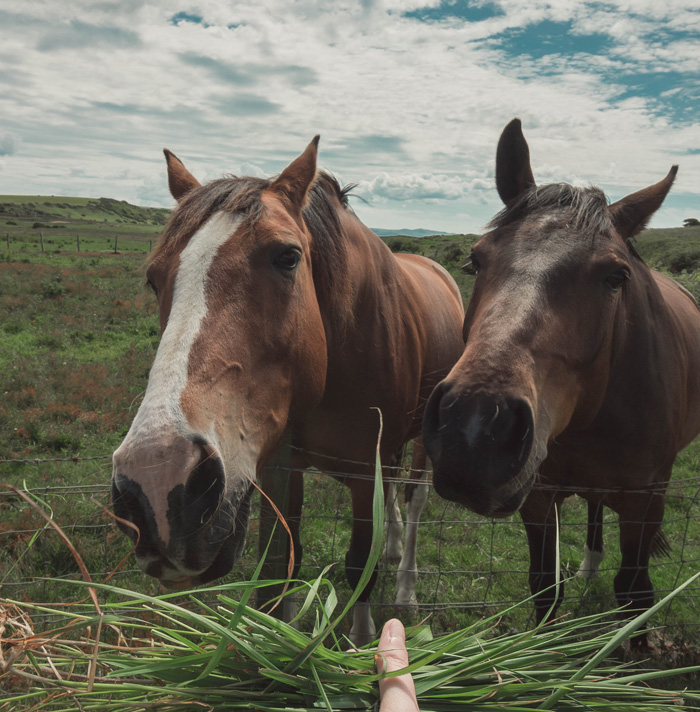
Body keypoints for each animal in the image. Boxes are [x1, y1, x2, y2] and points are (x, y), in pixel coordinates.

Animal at [111, 137, 465, 644]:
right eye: (154, 278)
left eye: (287, 257)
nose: (157, 485)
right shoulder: (287, 467)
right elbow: (288, 562)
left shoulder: (366, 472)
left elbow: (360, 566)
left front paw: (362, 641)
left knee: (415, 500)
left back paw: (406, 587)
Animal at [423, 118, 700, 638]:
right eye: (475, 260)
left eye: (616, 276)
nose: (475, 429)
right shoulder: (538, 498)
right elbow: (545, 587)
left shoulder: (645, 501)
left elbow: (635, 593)